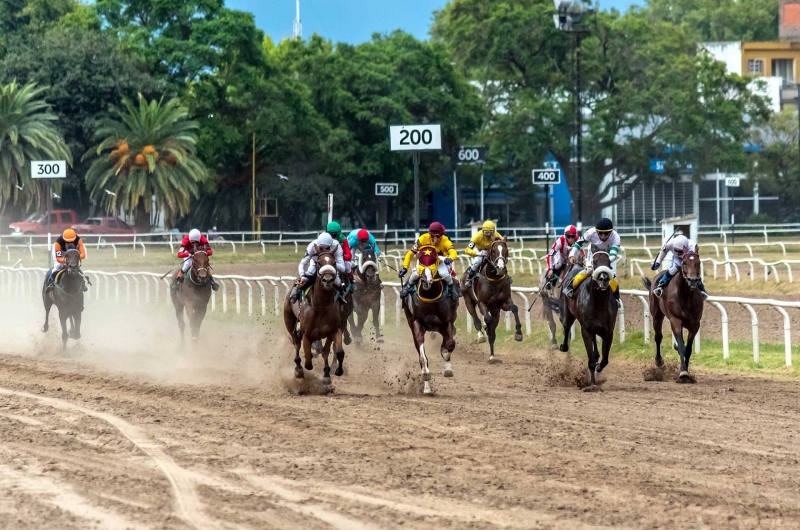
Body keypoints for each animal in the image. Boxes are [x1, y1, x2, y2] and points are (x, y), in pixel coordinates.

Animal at [284, 250, 344, 382]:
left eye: (334, 262)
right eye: (318, 262)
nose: (328, 280)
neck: (321, 306)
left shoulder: (334, 330)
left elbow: (336, 352)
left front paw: (332, 372)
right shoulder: (307, 334)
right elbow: (308, 361)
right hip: (289, 320)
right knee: (296, 343)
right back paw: (298, 369)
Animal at [404, 244, 460, 392]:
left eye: (434, 259)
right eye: (420, 258)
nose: (425, 280)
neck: (430, 296)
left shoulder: (447, 322)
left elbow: (449, 344)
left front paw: (447, 366)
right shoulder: (417, 322)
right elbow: (422, 354)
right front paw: (425, 375)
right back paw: (427, 388)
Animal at [560, 252, 620, 388]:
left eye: (609, 262)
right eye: (595, 262)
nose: (604, 279)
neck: (598, 302)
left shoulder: (608, 332)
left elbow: (605, 359)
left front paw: (599, 367)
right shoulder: (586, 330)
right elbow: (591, 360)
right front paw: (592, 384)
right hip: (567, 313)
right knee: (566, 327)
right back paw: (563, 346)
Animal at [644, 250, 708, 382]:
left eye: (698, 262)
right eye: (684, 263)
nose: (692, 280)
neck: (686, 296)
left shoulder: (695, 324)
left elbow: (688, 348)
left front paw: (686, 372)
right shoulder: (676, 321)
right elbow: (682, 347)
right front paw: (683, 372)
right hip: (657, 315)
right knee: (658, 337)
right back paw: (659, 361)